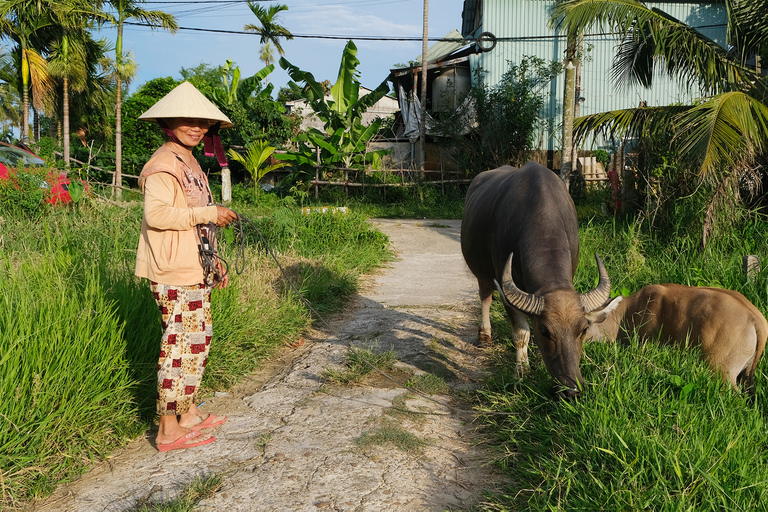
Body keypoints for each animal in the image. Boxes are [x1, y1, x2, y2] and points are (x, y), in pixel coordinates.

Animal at [462, 162, 612, 398]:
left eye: (583, 330)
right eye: (545, 331)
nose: (572, 390)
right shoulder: (504, 286)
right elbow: (521, 333)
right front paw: (521, 370)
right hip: (481, 272)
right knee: (485, 296)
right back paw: (484, 335)